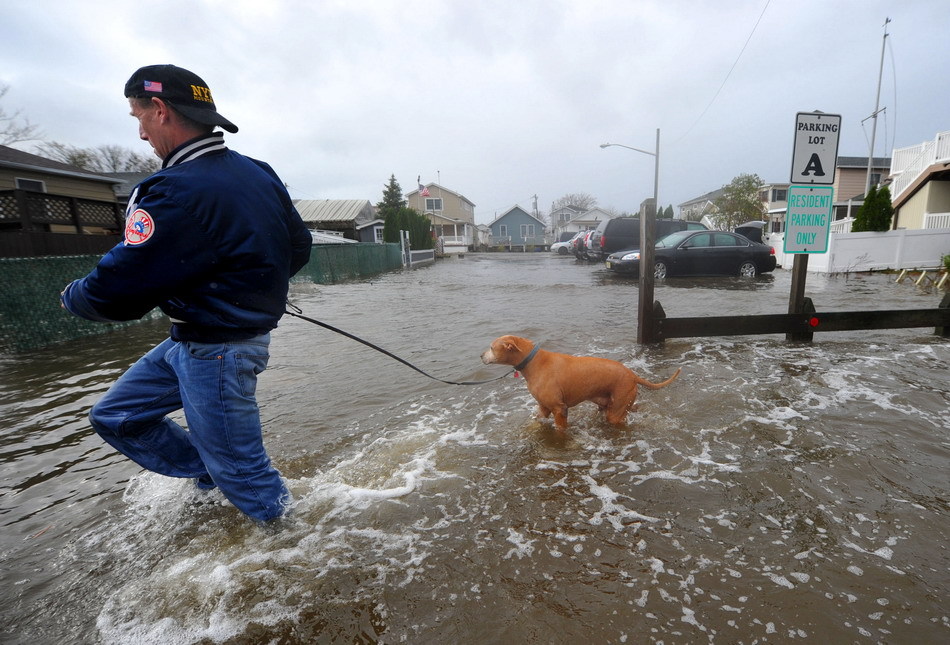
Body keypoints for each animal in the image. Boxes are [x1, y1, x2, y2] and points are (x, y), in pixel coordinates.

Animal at [484, 334, 684, 430]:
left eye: (491, 348)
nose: (480, 356)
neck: (533, 362)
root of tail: (632, 374)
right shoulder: (544, 407)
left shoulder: (559, 409)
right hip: (609, 404)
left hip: (615, 411)